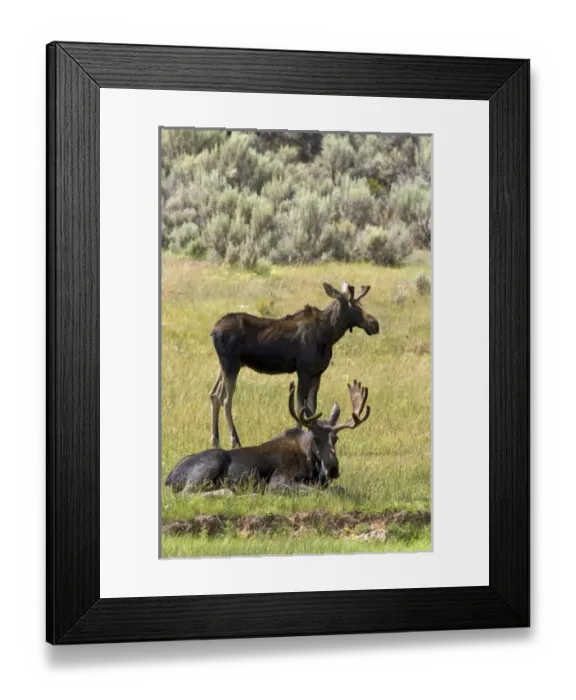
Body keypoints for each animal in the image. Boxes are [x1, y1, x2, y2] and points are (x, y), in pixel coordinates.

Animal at [165, 380, 371, 496]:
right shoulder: (278, 482)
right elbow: (319, 493)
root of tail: (169, 477)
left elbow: (338, 489)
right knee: (186, 494)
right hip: (210, 464)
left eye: (335, 438)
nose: (333, 469)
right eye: (315, 438)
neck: (312, 463)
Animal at [209, 281, 379, 449]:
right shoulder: (303, 371)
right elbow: (300, 408)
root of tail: (213, 331)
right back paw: (234, 440)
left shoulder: (317, 373)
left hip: (223, 366)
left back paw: (215, 440)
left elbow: (311, 409)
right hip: (231, 365)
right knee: (226, 400)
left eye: (360, 303)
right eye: (351, 304)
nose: (375, 324)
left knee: (214, 394)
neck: (330, 333)